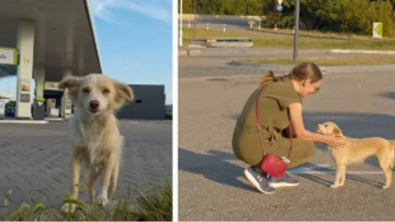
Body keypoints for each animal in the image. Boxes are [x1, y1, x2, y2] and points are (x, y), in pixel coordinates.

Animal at [58, 73, 134, 212]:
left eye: (106, 91)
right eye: (85, 90)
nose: (94, 103)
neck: (94, 124)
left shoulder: (109, 159)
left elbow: (104, 181)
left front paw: (102, 198)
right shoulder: (75, 157)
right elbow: (74, 183)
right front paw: (71, 204)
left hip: (114, 174)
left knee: (110, 188)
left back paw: (108, 202)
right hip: (90, 178)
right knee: (91, 191)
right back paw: (91, 205)